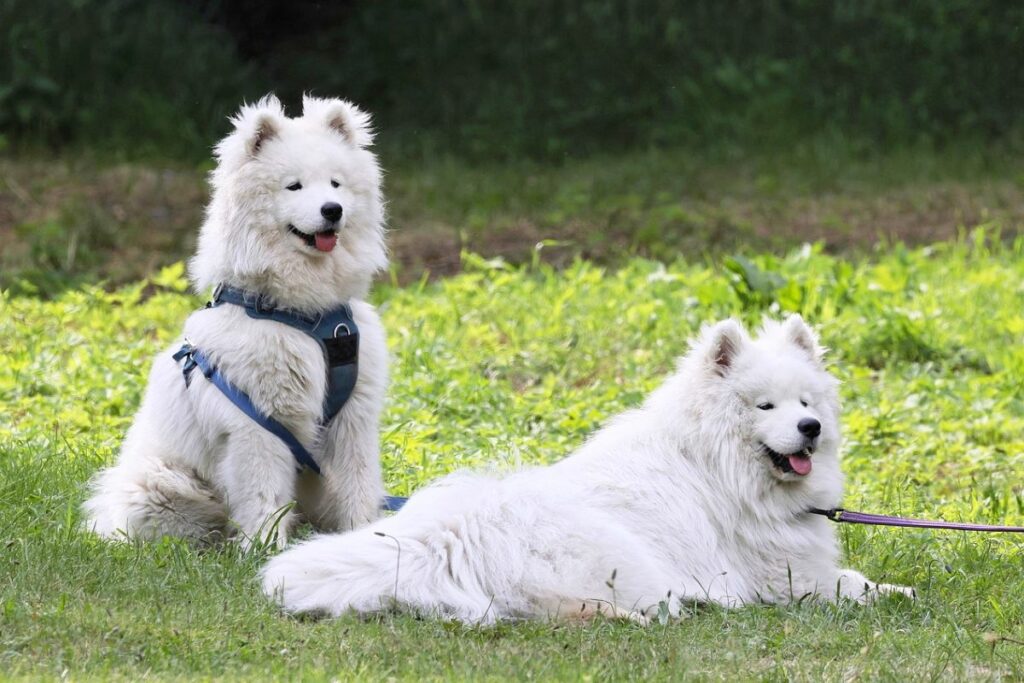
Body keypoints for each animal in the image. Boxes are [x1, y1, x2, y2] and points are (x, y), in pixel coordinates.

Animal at [81, 93, 387, 548]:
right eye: (294, 186)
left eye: (335, 184)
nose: (333, 210)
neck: (303, 313)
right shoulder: (257, 426)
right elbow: (264, 496)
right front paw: (263, 549)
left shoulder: (354, 420)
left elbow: (358, 485)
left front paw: (364, 537)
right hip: (162, 483)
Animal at [262, 317, 913, 622]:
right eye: (766, 407)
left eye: (806, 401)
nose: (812, 428)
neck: (715, 465)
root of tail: (448, 537)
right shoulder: (783, 579)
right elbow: (850, 585)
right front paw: (895, 592)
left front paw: (900, 587)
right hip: (623, 558)